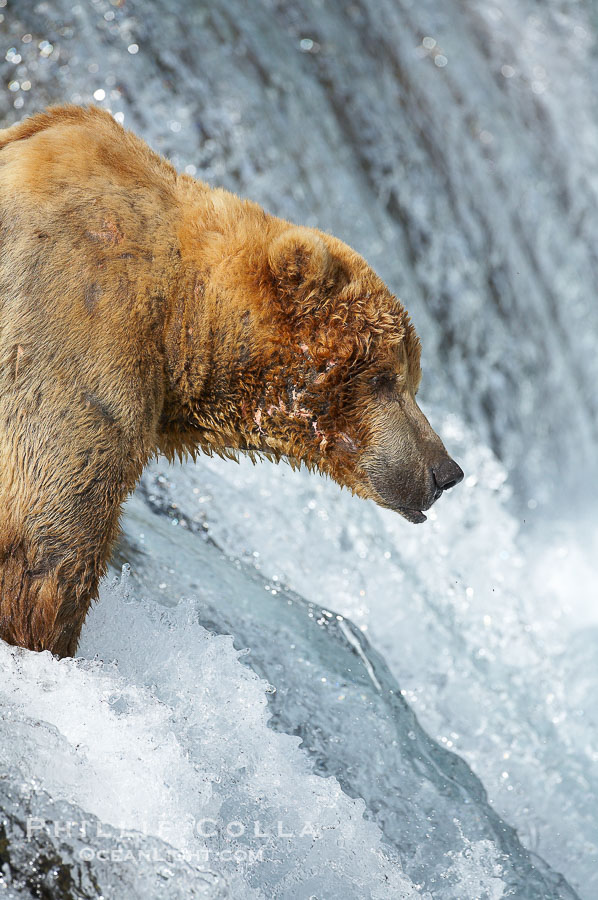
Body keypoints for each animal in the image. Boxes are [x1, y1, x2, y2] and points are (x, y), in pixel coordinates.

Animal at [0, 105, 463, 657]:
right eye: (386, 378)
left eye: (413, 378)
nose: (446, 472)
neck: (182, 319)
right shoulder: (76, 317)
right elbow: (49, 534)